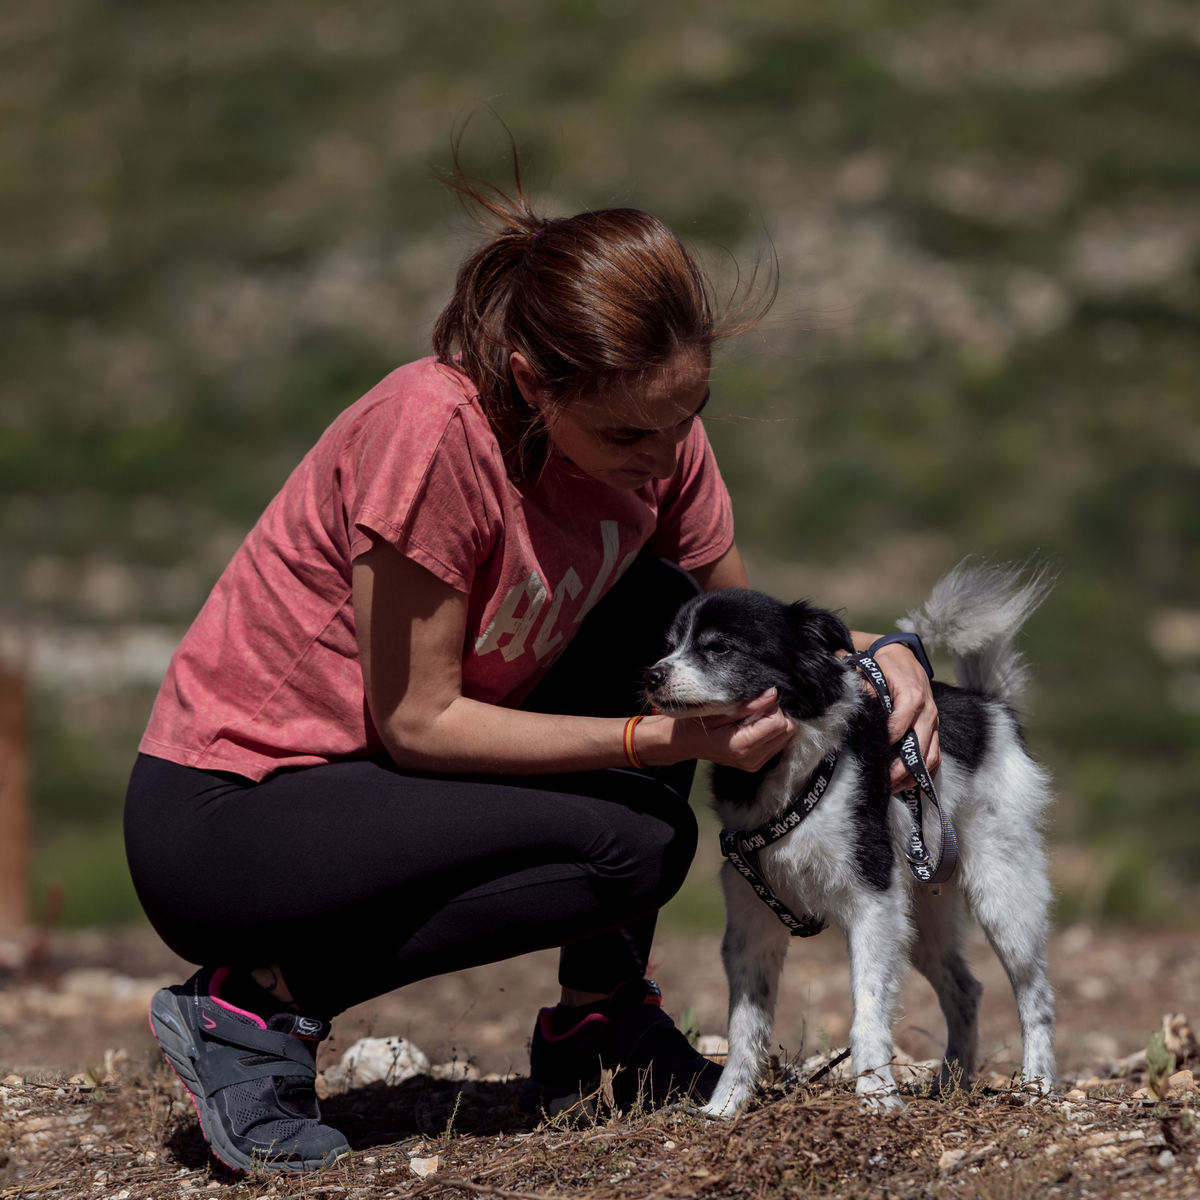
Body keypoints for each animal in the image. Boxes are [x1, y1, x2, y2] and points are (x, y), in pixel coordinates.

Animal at [643, 561, 1056, 1113]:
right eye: (669, 645)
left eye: (720, 648)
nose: (651, 675)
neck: (792, 768)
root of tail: (990, 706)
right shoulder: (753, 918)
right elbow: (745, 1026)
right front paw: (725, 1106)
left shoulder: (873, 901)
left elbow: (868, 1014)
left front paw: (877, 1099)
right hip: (920, 915)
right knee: (966, 989)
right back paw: (950, 1083)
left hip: (1002, 890)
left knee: (1034, 994)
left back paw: (1038, 1085)